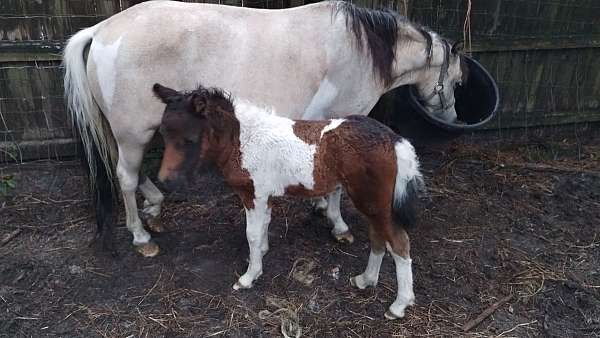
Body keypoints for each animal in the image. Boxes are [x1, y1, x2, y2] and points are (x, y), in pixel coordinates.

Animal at [63, 0, 464, 254]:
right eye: (457, 82)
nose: (453, 118)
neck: (360, 49)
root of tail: (101, 29)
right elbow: (336, 186)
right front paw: (337, 225)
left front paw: (319, 207)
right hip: (134, 133)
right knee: (125, 177)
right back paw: (141, 237)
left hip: (134, 132)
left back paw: (154, 208)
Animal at [155, 83, 426, 318]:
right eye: (163, 134)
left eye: (189, 139)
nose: (164, 181)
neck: (244, 140)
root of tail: (393, 139)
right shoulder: (263, 196)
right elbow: (264, 225)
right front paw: (260, 255)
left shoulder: (253, 194)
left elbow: (252, 234)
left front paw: (249, 276)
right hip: (374, 203)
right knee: (378, 236)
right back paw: (365, 279)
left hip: (373, 201)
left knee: (399, 243)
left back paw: (398, 305)